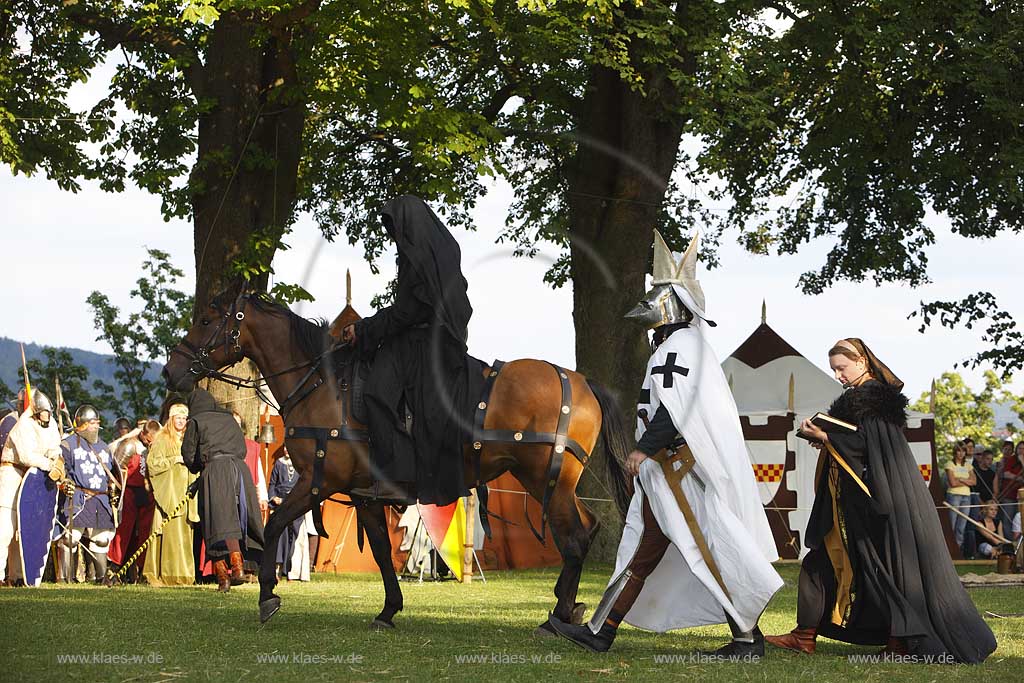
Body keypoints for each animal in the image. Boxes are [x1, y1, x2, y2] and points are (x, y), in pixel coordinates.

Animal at [161, 288, 630, 630]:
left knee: (575, 537)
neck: (321, 386)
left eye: (206, 320)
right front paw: (389, 610)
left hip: (545, 479)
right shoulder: (363, 495)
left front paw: (267, 596)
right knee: (588, 528)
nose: (171, 372)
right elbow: (384, 553)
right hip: (557, 484)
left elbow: (274, 523)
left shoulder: (316, 482)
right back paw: (568, 608)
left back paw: (558, 617)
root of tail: (580, 382)